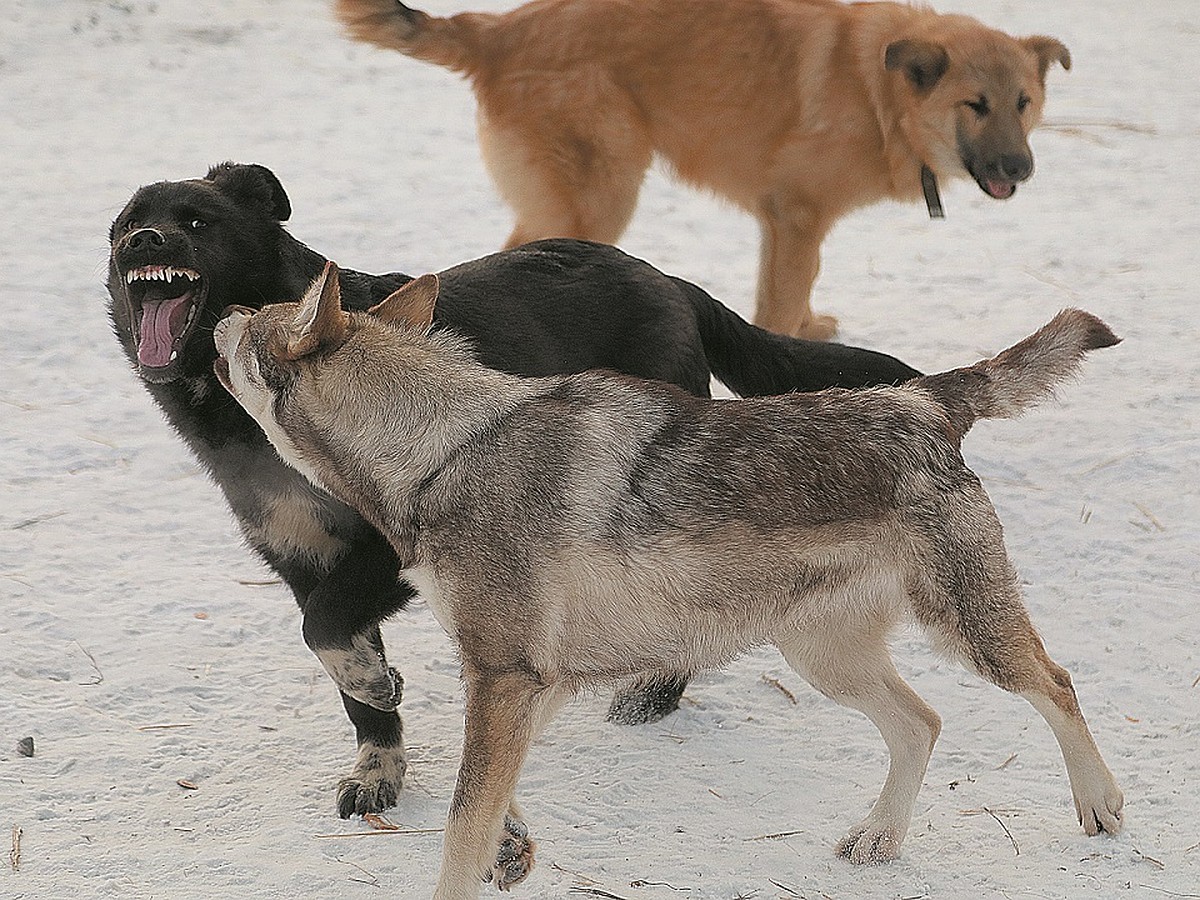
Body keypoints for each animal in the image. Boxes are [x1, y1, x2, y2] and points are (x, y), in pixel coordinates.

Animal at [110, 160, 916, 816]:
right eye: (124, 225)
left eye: (196, 221)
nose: (144, 242)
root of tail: (664, 279)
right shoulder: (301, 559)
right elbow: (338, 659)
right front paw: (377, 761)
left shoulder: (390, 550)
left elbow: (326, 627)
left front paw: (377, 684)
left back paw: (654, 693)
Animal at [213, 262, 1123, 900]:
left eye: (254, 321)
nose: (219, 315)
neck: (443, 448)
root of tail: (922, 400)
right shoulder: (529, 680)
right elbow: (491, 803)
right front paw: (514, 851)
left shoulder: (505, 676)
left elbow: (461, 826)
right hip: (825, 660)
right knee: (924, 724)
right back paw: (878, 839)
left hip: (965, 633)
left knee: (1058, 684)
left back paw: (1102, 807)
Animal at [336, 0, 1070, 340]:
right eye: (975, 105)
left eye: (1023, 102)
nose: (1021, 167)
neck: (878, 92)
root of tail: (496, 31)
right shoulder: (797, 215)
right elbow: (781, 299)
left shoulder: (788, 225)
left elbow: (797, 291)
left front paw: (808, 330)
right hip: (601, 196)